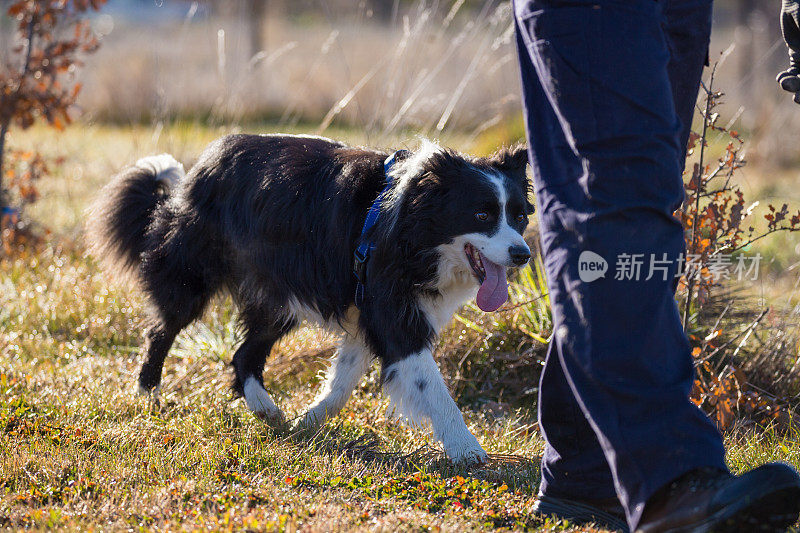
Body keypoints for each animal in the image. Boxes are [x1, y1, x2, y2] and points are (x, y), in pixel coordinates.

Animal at [87, 134, 532, 462]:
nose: (523, 255)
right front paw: (468, 450)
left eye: (520, 216)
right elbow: (426, 378)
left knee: (245, 353)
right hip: (196, 263)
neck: (417, 227)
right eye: (481, 215)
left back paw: (267, 410)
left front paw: (308, 421)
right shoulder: (387, 292)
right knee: (164, 328)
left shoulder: (368, 300)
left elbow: (344, 378)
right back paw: (148, 395)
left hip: (277, 294)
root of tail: (194, 173)